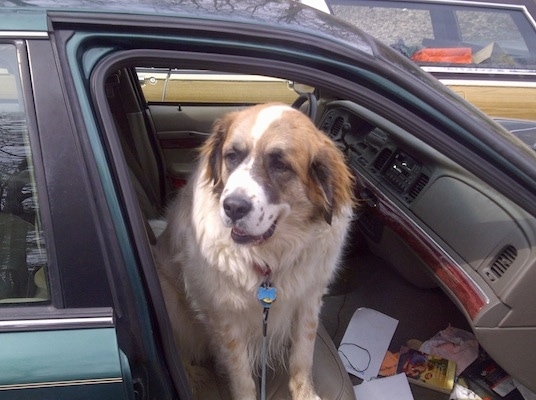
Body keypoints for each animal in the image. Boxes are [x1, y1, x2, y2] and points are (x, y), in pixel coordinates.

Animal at [155, 102, 356, 396]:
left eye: (280, 164)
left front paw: (306, 393)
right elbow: (241, 376)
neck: (272, 255)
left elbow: (303, 355)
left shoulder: (309, 299)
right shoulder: (225, 319)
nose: (233, 207)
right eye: (232, 157)